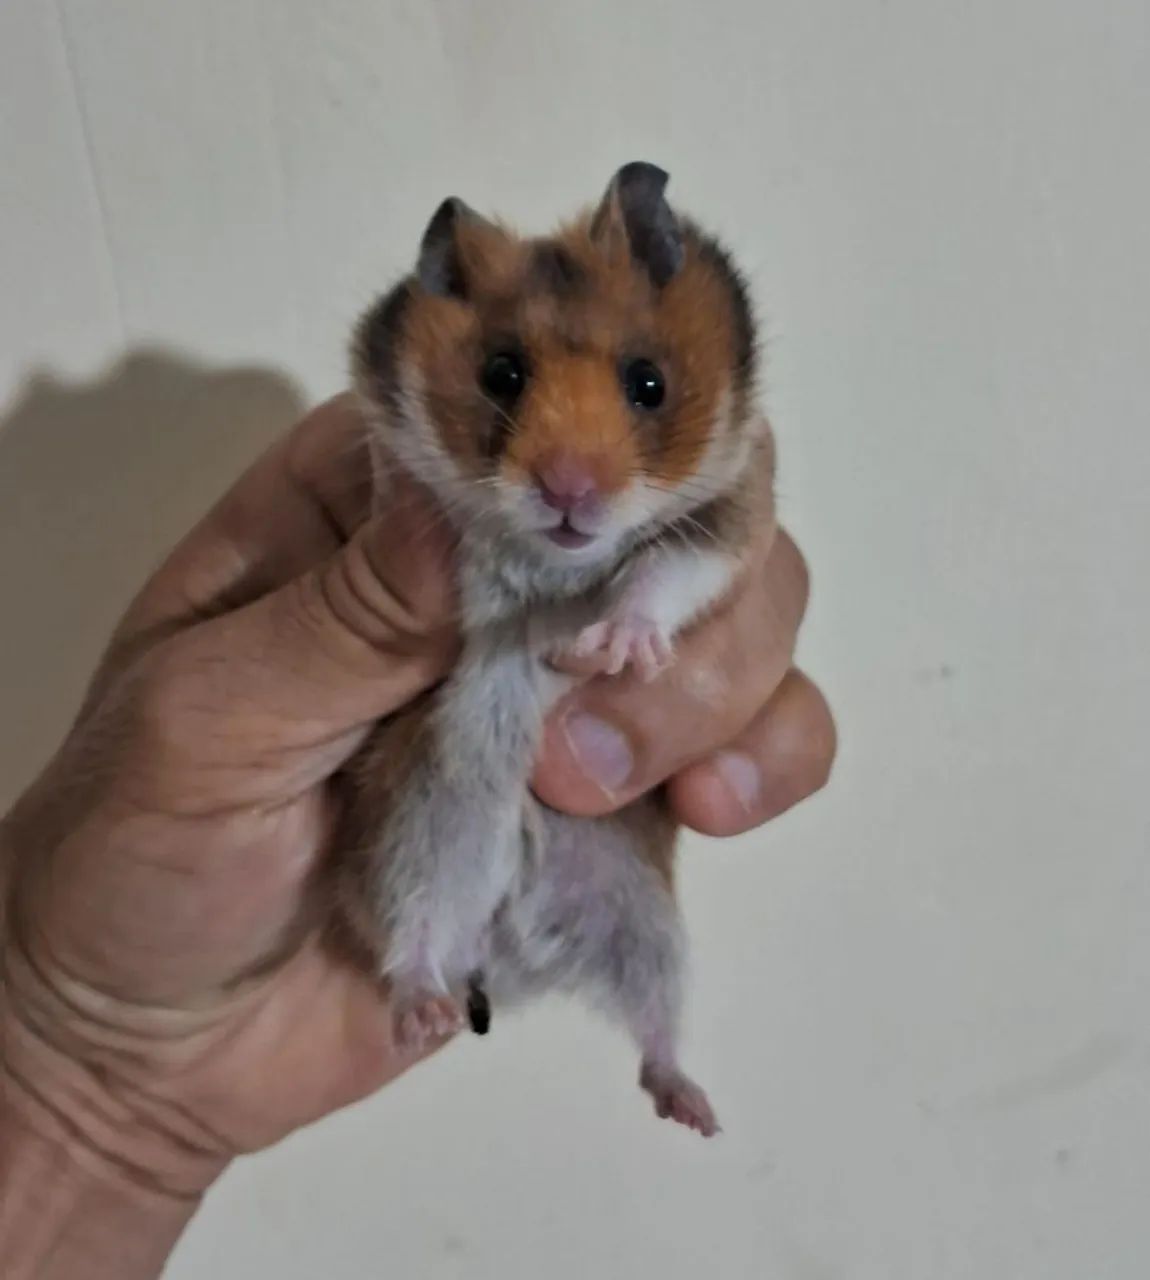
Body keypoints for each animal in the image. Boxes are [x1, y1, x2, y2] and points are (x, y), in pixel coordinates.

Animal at [337, 163, 774, 1137]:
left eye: (648, 383)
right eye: (502, 374)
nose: (569, 492)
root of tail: (516, 957)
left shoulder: (729, 518)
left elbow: (661, 576)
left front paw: (605, 655)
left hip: (648, 926)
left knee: (656, 1028)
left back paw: (696, 1112)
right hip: (425, 837)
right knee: (413, 941)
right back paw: (425, 1010)